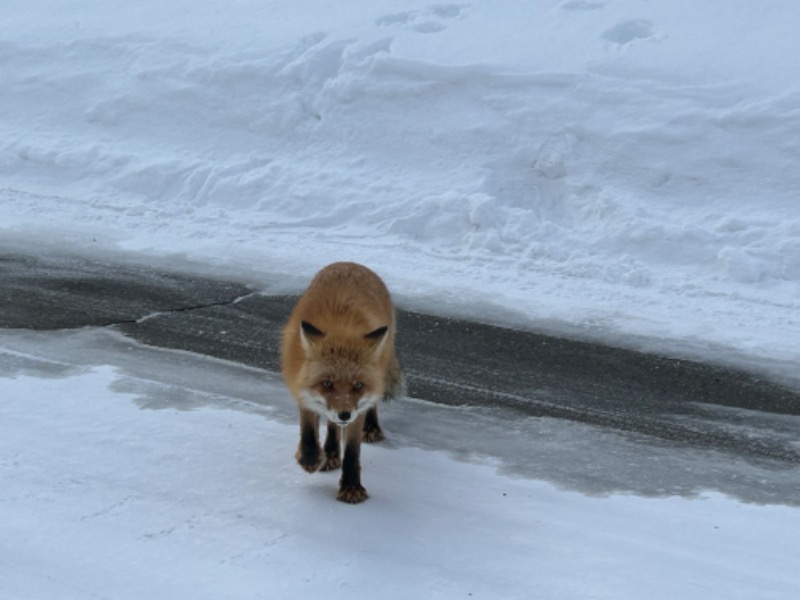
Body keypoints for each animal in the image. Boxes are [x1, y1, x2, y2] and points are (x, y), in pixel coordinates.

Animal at [282, 262, 406, 502]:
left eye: (358, 385)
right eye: (326, 384)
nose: (344, 414)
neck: (340, 330)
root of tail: (349, 264)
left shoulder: (357, 409)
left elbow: (352, 453)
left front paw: (351, 486)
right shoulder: (302, 388)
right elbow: (308, 431)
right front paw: (310, 459)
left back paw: (369, 428)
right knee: (331, 425)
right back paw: (329, 453)